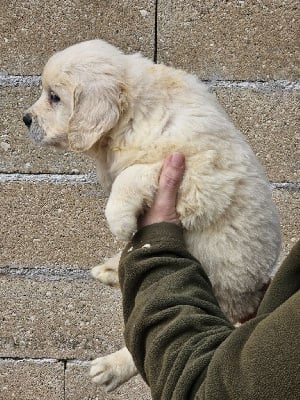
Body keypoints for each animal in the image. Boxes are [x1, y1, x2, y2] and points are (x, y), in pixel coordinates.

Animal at [22, 39, 282, 390]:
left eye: (55, 97)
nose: (25, 119)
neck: (132, 114)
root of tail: (251, 299)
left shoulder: (197, 172)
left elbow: (133, 174)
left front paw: (118, 220)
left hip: (216, 289)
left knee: (149, 346)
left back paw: (110, 367)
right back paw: (110, 269)